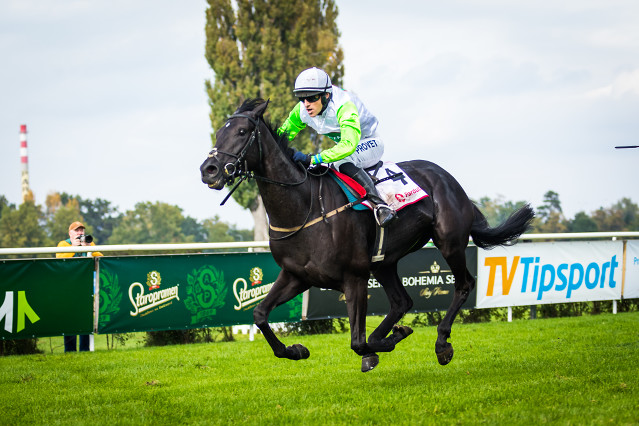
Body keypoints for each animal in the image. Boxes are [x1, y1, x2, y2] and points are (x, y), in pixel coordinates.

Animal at [201, 98, 536, 372]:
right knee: (402, 302)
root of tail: (450, 180)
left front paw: (388, 341)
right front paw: (296, 350)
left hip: (449, 242)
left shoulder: (354, 277)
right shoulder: (297, 275)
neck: (303, 208)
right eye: (218, 132)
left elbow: (357, 342)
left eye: (242, 131)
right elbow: (259, 314)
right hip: (385, 262)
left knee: (464, 284)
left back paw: (442, 343)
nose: (209, 169)